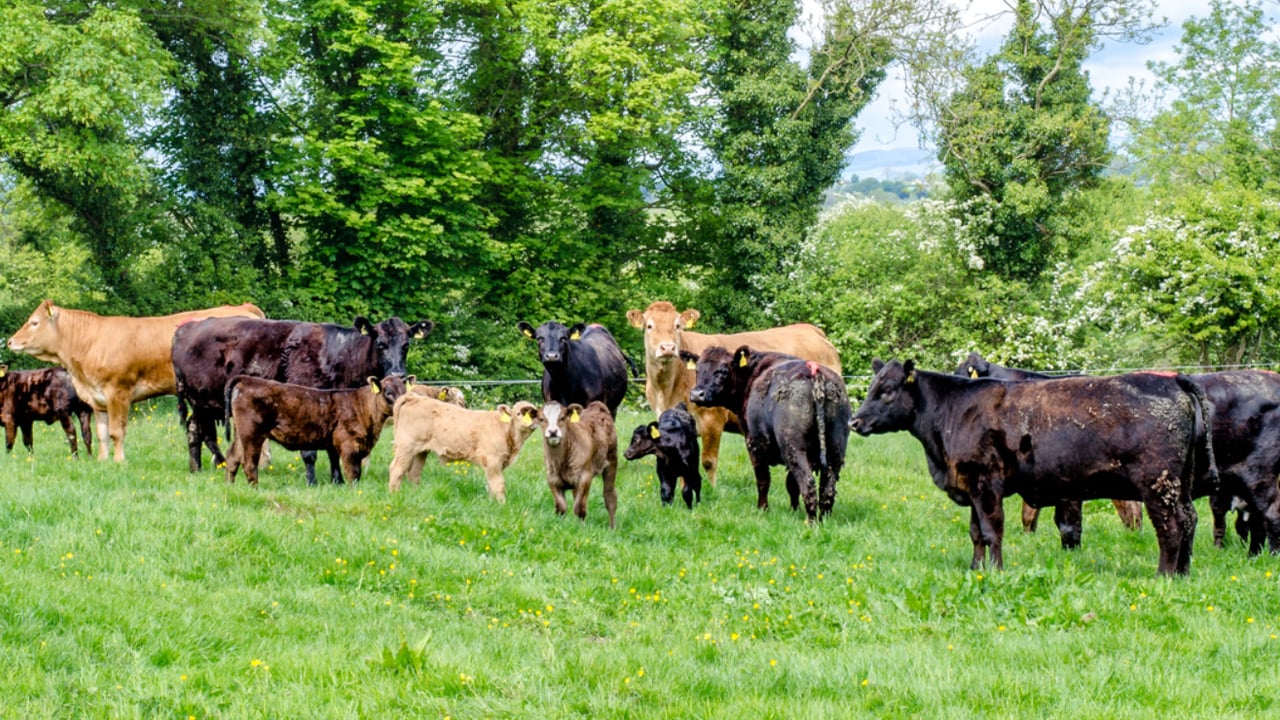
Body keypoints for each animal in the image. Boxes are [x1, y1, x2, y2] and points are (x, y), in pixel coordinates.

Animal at [6, 299, 265, 461]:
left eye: (34, 322)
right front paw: (102, 460)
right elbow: (101, 433)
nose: (9, 341)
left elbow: (116, 432)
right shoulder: (98, 399)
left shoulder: (118, 392)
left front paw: (119, 461)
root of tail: (243, 307)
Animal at [224, 375, 408, 486]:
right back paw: (255, 489)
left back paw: (230, 486)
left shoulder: (334, 444)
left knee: (232, 457)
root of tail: (247, 379)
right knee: (249, 464)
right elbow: (353, 472)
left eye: (405, 390)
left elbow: (336, 467)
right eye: (388, 392)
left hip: (240, 433)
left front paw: (338, 484)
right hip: (252, 434)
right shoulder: (348, 445)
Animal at [387, 397, 543, 500]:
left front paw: (492, 502)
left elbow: (491, 484)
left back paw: (414, 494)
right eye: (519, 413)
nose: (533, 420)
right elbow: (498, 484)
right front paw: (501, 505)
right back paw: (394, 495)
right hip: (406, 446)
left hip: (420, 451)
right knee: (396, 469)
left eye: (534, 412)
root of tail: (415, 397)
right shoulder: (492, 460)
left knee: (413, 472)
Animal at [626, 301, 841, 486]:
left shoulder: (711, 420)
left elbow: (708, 461)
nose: (668, 347)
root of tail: (810, 329)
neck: (667, 389)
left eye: (677, 325)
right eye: (649, 326)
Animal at [682, 346, 851, 522]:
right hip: (836, 449)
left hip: (794, 448)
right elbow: (791, 484)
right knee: (827, 489)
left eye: (723, 371)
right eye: (698, 369)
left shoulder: (754, 444)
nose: (697, 394)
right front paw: (793, 509)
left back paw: (811, 522)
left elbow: (763, 480)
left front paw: (762, 509)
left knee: (808, 483)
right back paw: (824, 519)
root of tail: (814, 372)